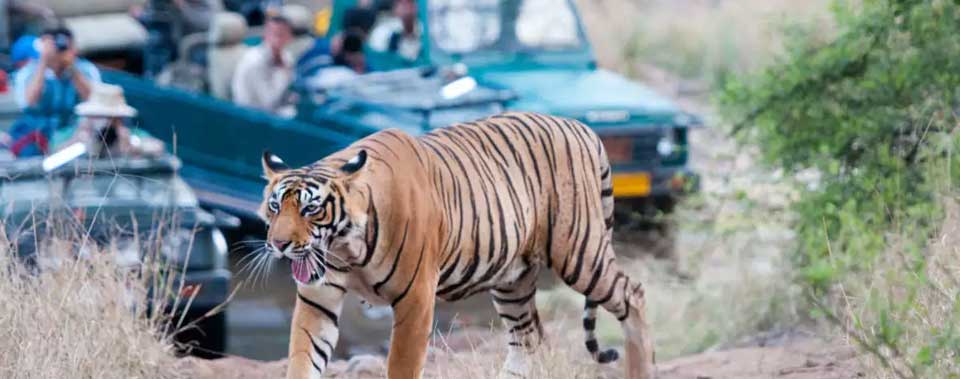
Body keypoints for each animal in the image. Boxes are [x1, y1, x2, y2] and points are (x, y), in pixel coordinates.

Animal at [258, 111, 656, 378]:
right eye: (276, 206)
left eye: (311, 209)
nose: (278, 244)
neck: (346, 249)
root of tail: (581, 126)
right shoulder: (318, 297)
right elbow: (303, 356)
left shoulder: (416, 298)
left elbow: (401, 364)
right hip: (513, 280)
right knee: (528, 337)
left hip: (579, 253)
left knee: (634, 294)